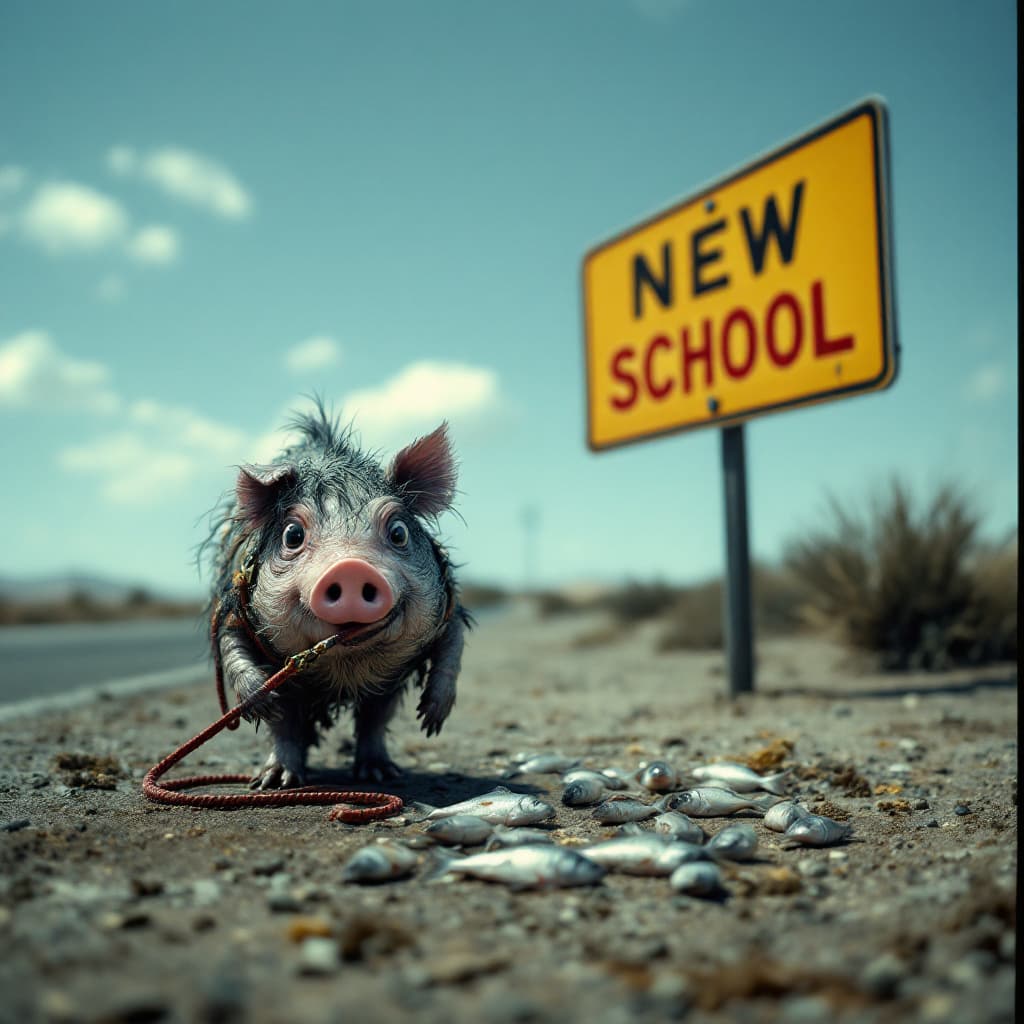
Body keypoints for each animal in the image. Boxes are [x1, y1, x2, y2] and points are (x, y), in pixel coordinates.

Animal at [204, 402, 470, 788]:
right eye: (293, 535)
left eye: (399, 532)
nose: (351, 568)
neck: (345, 667)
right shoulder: (232, 609)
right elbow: (231, 648)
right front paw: (263, 702)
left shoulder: (448, 605)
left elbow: (453, 644)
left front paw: (431, 720)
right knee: (287, 726)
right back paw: (276, 781)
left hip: (386, 688)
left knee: (375, 718)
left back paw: (380, 774)